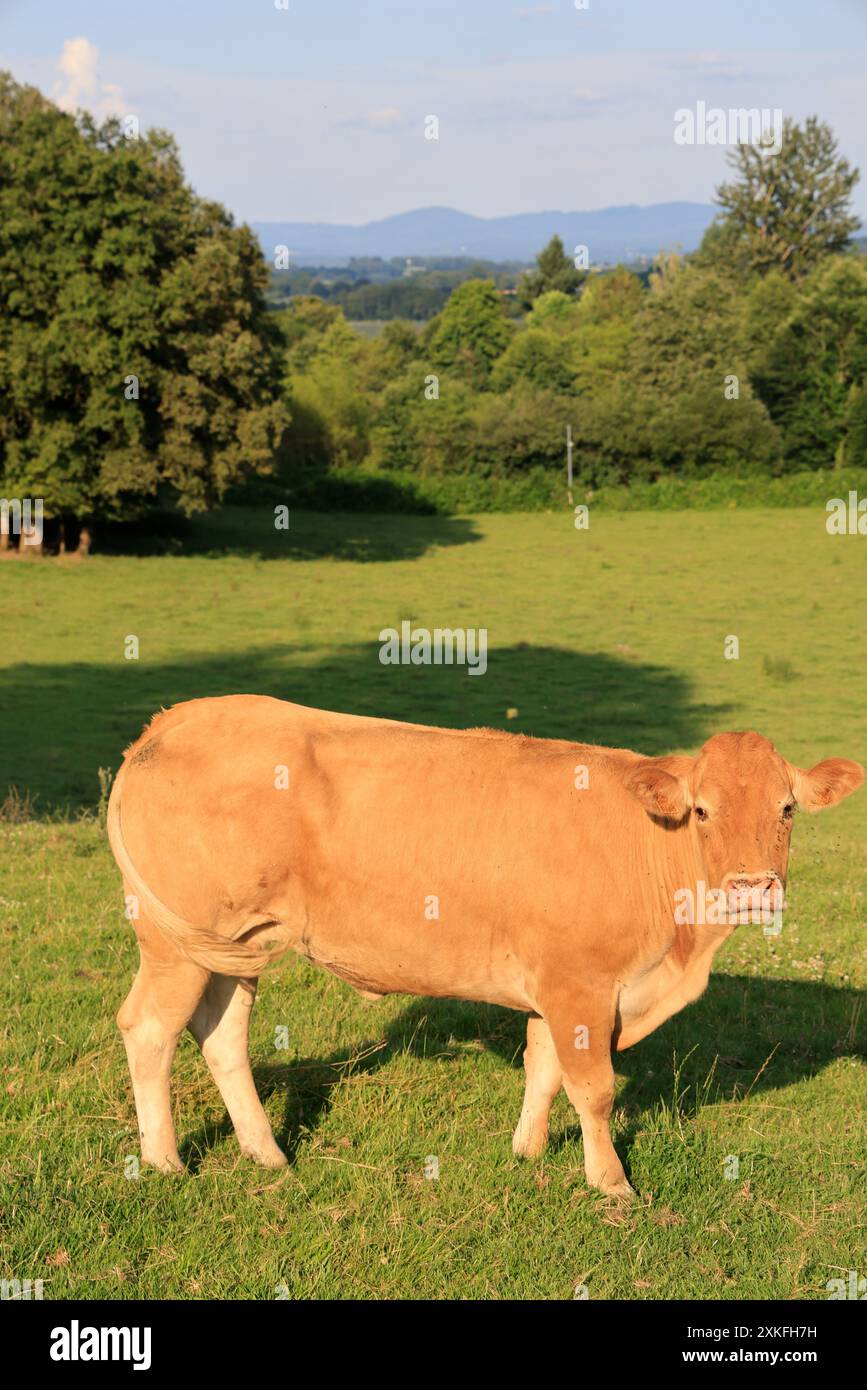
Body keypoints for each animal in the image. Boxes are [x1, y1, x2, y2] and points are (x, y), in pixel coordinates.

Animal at [106, 700, 861, 1200]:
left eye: (787, 808)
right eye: (702, 810)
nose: (752, 887)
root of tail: (179, 717)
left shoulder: (556, 987)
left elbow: (543, 1070)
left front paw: (528, 1151)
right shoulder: (579, 985)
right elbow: (592, 1088)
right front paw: (611, 1185)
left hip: (233, 948)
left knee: (221, 1035)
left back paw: (267, 1155)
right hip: (174, 945)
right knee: (150, 1029)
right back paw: (165, 1161)